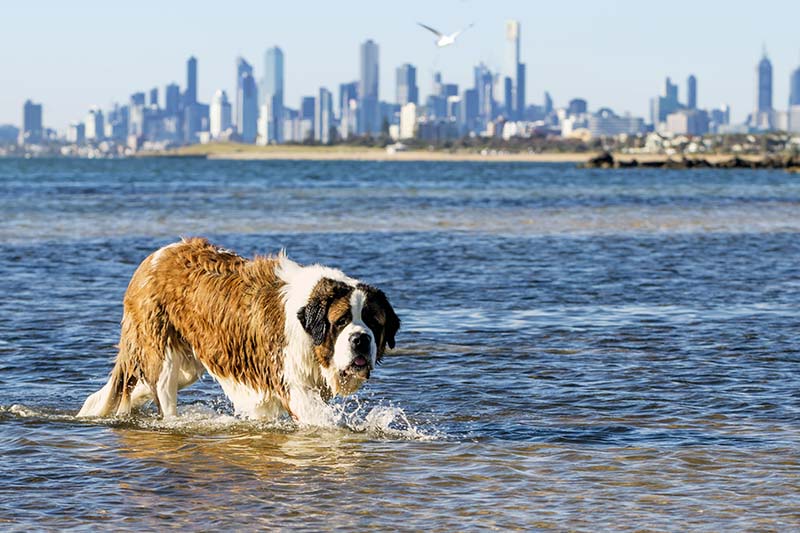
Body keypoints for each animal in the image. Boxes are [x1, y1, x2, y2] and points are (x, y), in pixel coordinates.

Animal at [78, 239, 396, 422]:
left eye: (374, 323)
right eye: (341, 321)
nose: (360, 339)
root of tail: (154, 257)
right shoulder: (293, 385)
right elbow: (321, 421)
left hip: (186, 364)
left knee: (140, 384)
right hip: (162, 353)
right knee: (162, 393)